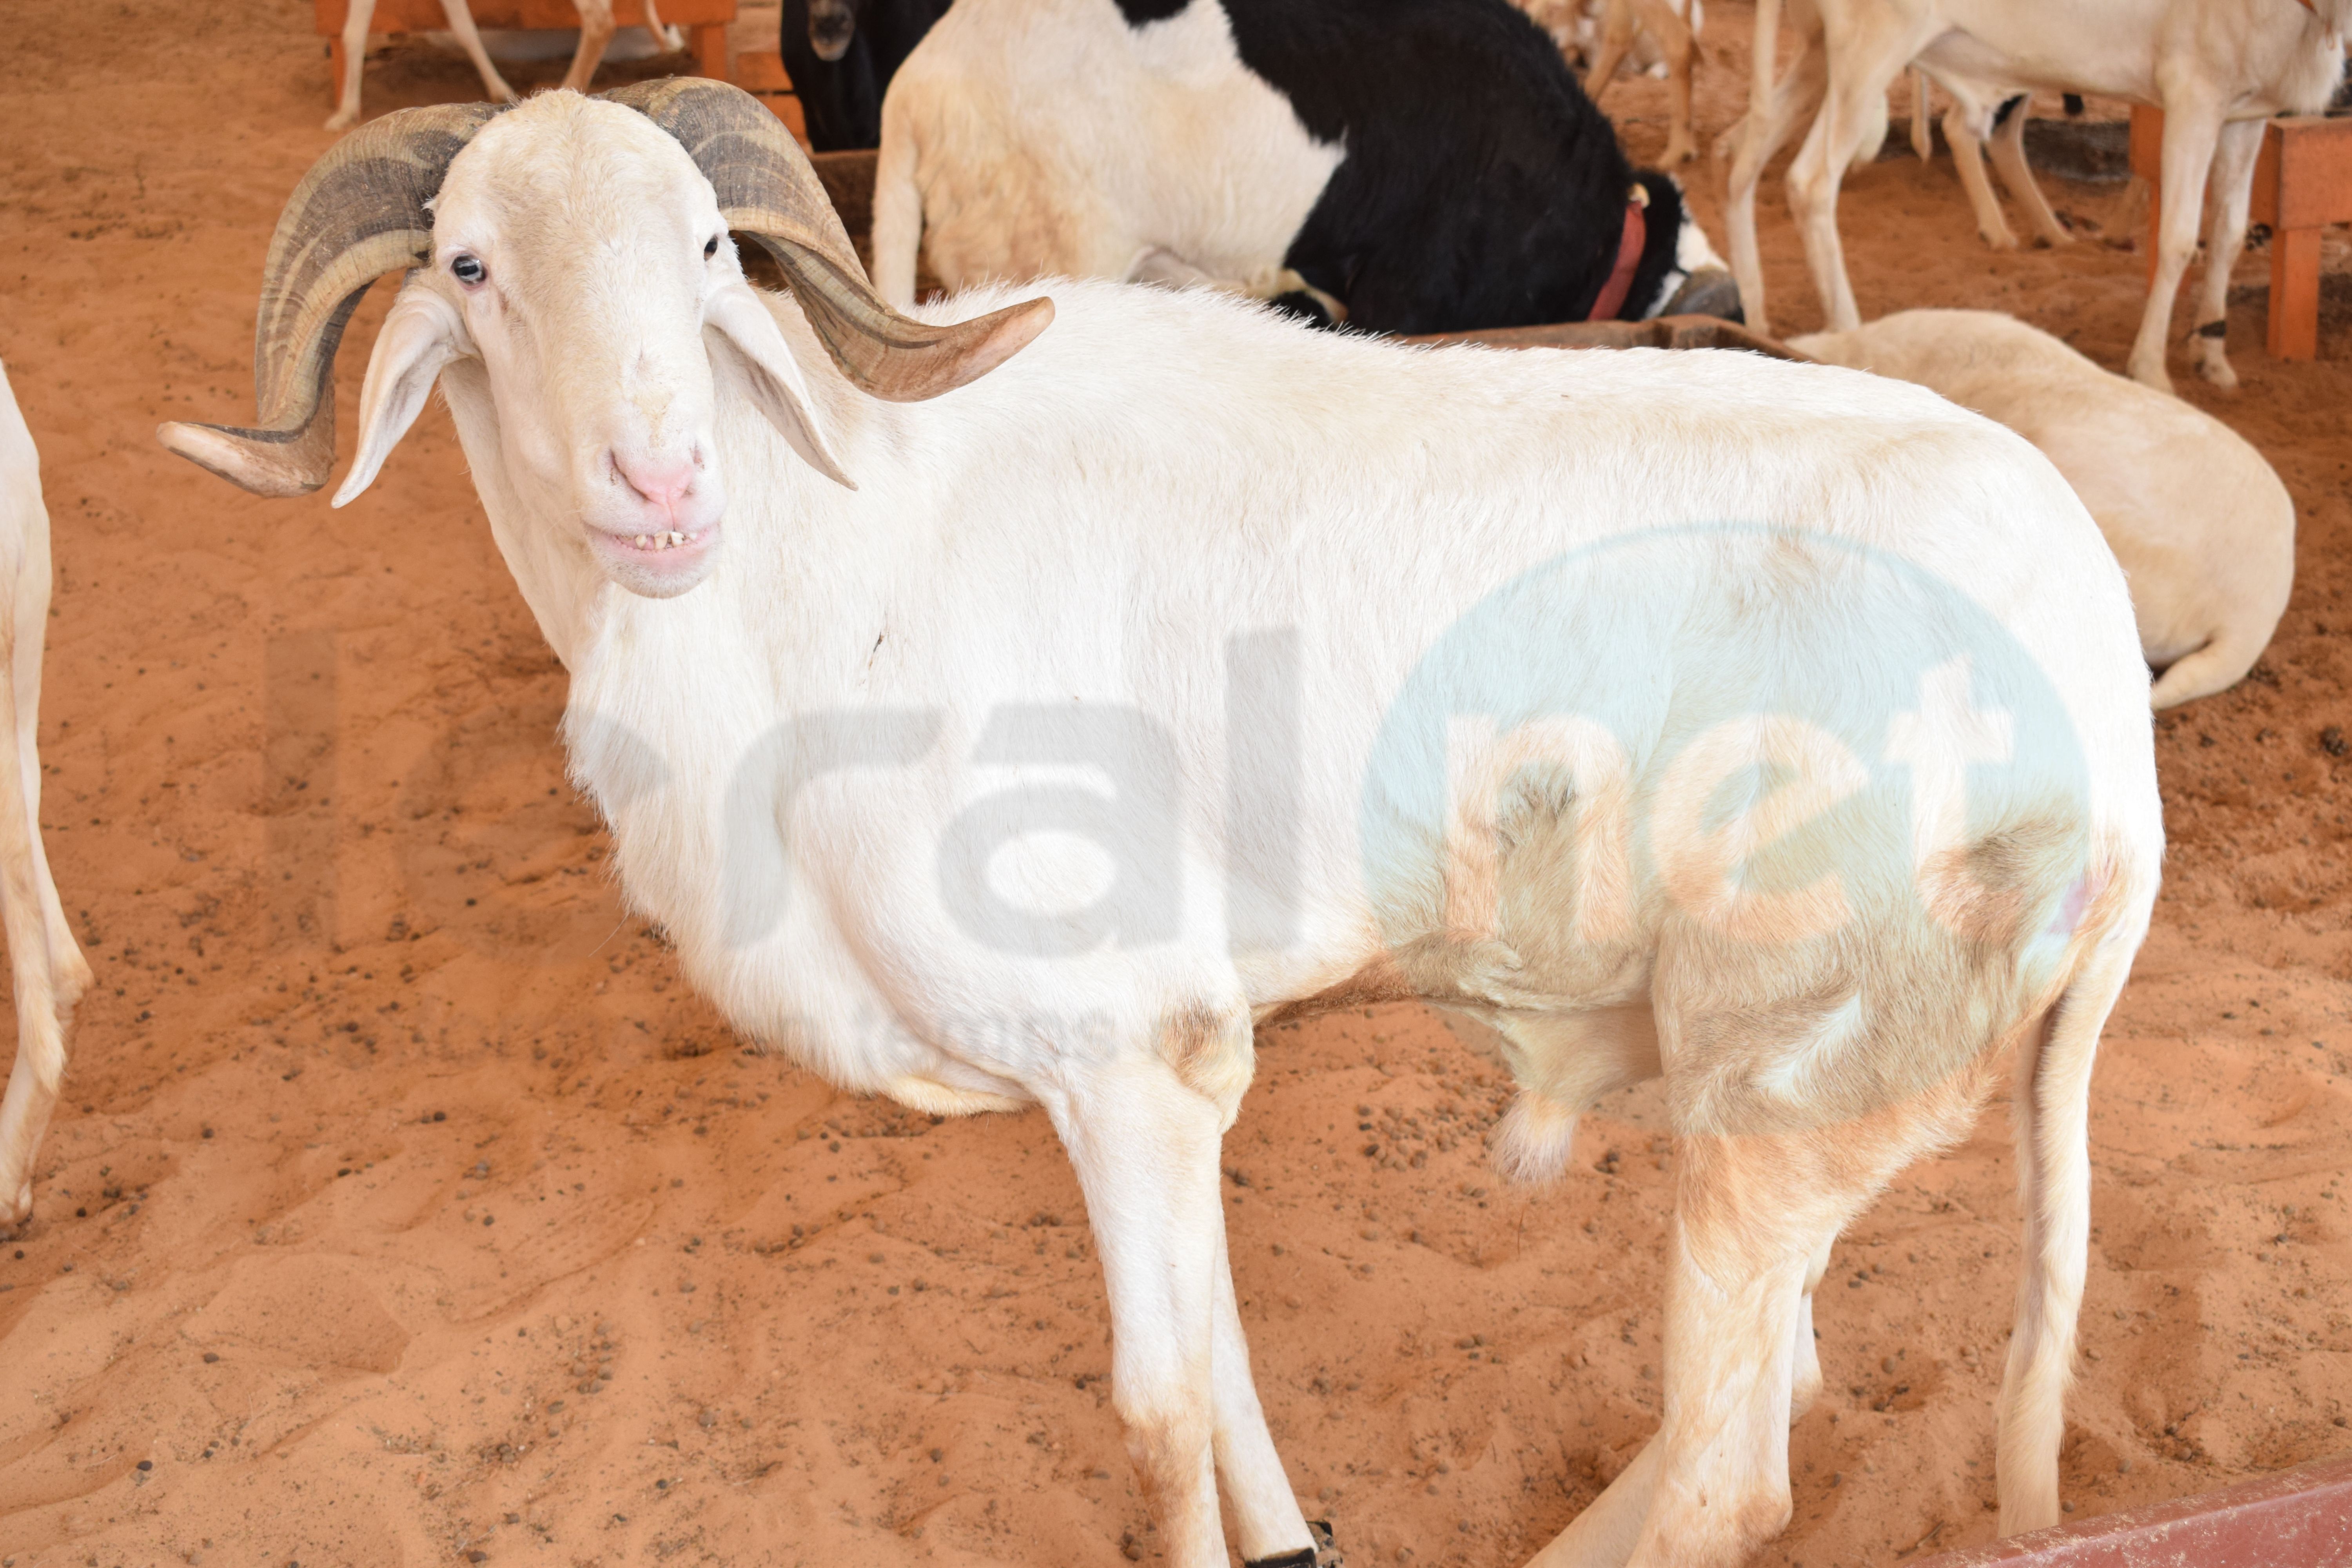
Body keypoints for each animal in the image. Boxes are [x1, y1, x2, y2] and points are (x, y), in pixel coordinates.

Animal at [159, 80, 2162, 1568]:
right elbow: (1220, 1358)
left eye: (709, 249)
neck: (820, 555)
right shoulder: (1173, 1072)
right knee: (1753, 1414)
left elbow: (1155, 1403)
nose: (659, 484)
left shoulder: (1121, 1045)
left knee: (1730, 1474)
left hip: (1785, 1090)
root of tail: (2111, 713)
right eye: (473, 264)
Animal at [1722, 0, 2352, 392]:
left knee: (1742, 156)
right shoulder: (2192, 93)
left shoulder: (2247, 112)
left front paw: (2213, 357)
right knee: (1810, 182)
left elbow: (2228, 234)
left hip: (1820, 52)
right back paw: (1848, 331)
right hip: (1868, 48)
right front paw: (2151, 367)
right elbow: (2177, 239)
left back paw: (1752, 308)